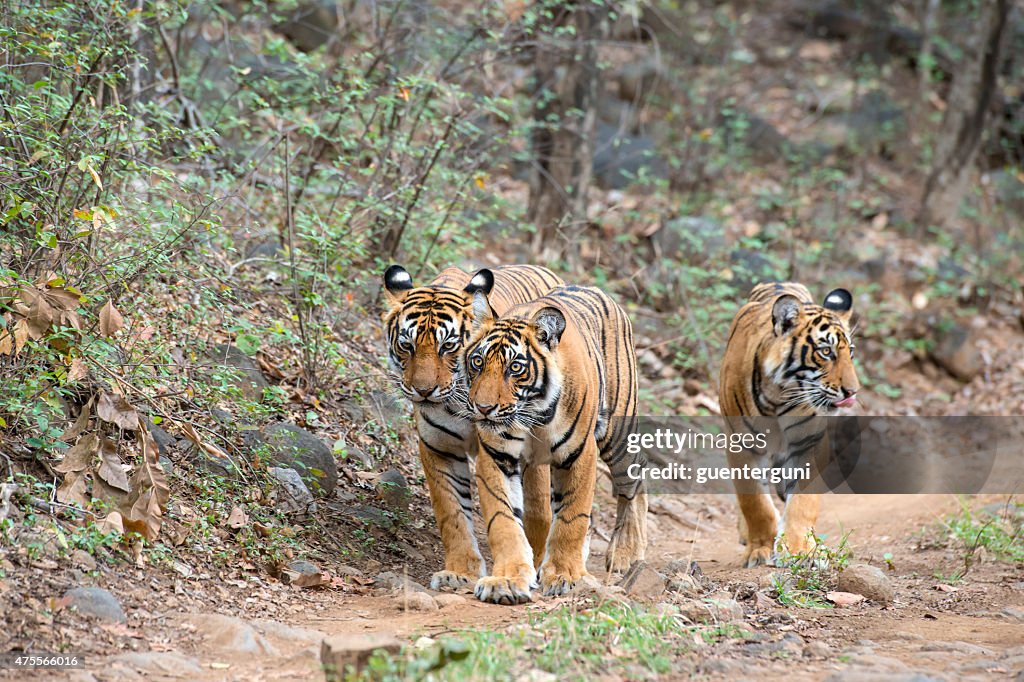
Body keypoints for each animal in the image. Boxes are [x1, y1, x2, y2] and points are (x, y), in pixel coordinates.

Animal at [380, 261, 565, 589]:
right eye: (406, 345)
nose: (423, 391)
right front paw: (460, 572)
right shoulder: (439, 449)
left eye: (448, 346)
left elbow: (533, 511)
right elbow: (451, 513)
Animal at [464, 278, 647, 602]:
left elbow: (572, 518)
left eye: (515, 368)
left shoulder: (580, 454)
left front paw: (565, 576)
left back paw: (626, 552)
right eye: (477, 362)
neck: (533, 413)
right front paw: (506, 579)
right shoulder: (497, 457)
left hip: (619, 434)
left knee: (635, 481)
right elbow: (503, 519)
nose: (483, 408)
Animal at [716, 280, 860, 569]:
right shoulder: (741, 444)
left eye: (850, 352)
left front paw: (799, 550)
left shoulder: (810, 444)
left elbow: (803, 502)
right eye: (825, 351)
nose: (852, 392)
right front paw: (759, 549)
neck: (778, 396)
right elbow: (754, 502)